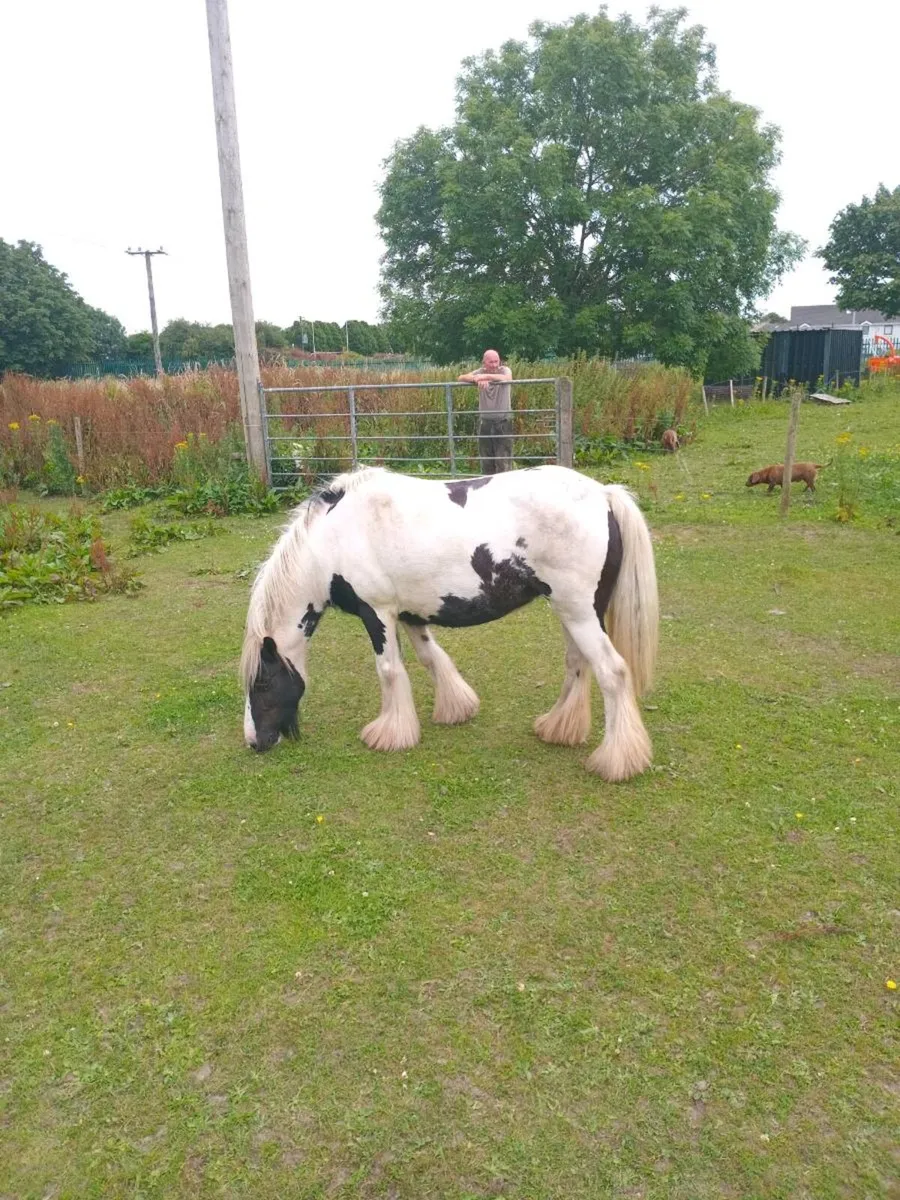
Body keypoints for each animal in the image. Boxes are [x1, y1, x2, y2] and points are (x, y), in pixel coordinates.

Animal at [240, 465, 659, 782]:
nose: (254, 742)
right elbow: (430, 658)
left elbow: (389, 670)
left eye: (262, 683)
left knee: (612, 672)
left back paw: (617, 760)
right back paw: (560, 728)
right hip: (575, 612)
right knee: (577, 664)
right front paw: (456, 707)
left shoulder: (378, 613)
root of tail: (603, 494)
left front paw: (390, 734)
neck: (334, 539)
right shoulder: (409, 615)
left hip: (579, 612)